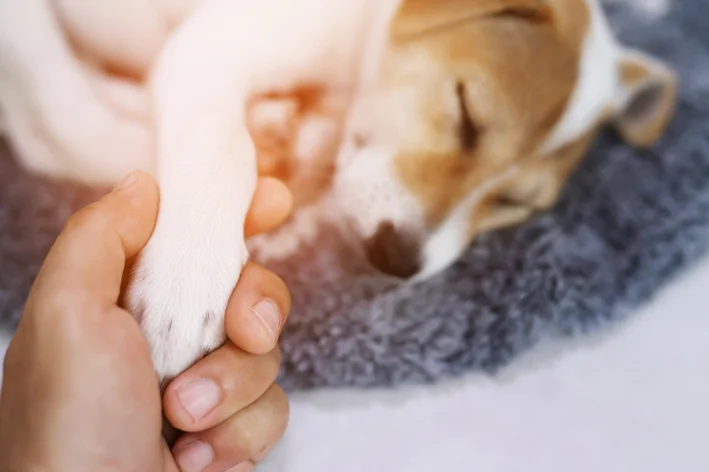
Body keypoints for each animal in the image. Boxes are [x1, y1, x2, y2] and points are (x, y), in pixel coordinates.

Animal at [0, 0, 676, 384]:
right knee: (51, 122)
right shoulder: (211, 48)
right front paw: (186, 280)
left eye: (515, 204)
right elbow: (223, 149)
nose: (397, 258)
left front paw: (309, 135)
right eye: (468, 113)